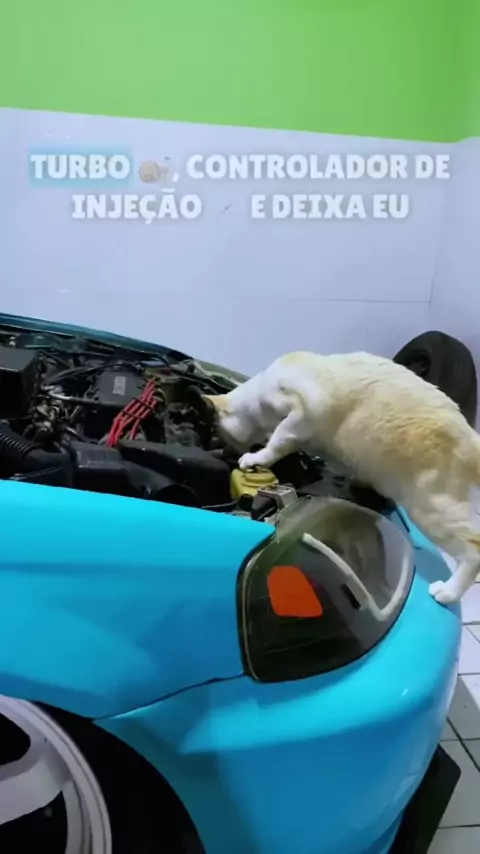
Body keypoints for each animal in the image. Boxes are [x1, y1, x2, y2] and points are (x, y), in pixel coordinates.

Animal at [205, 350, 480, 605]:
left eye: (219, 435)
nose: (224, 452)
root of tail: (470, 435)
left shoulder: (300, 414)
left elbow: (276, 443)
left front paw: (255, 458)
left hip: (427, 507)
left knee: (473, 548)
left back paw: (447, 593)